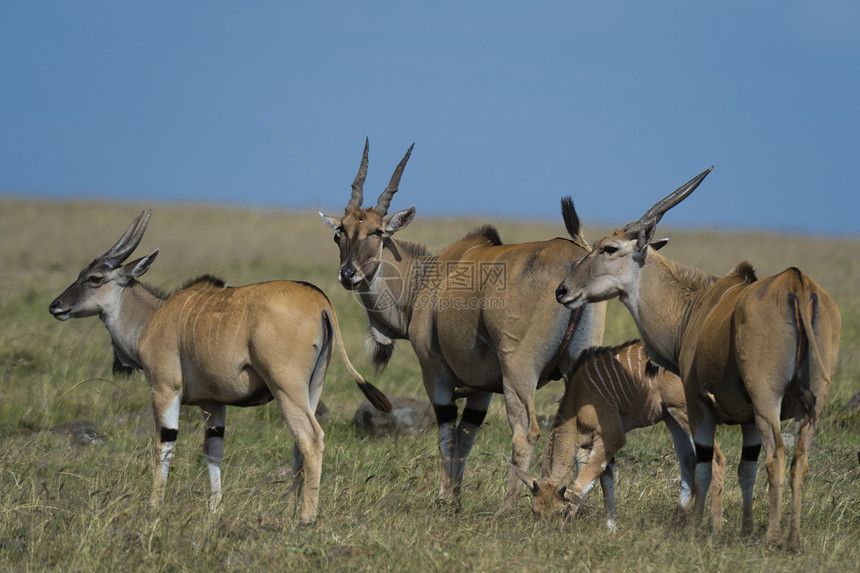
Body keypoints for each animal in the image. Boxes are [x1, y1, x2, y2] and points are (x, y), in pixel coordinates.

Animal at [48, 210, 392, 524]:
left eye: (94, 278)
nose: (55, 306)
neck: (153, 318)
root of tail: (320, 303)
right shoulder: (212, 403)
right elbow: (213, 452)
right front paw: (214, 509)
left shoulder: (164, 389)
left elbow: (164, 445)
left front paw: (154, 506)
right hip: (311, 388)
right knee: (299, 444)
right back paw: (290, 509)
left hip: (286, 388)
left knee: (310, 438)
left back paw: (307, 517)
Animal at [320, 140, 608, 512]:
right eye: (340, 232)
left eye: (378, 232)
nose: (348, 273)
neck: (428, 275)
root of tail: (575, 257)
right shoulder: (481, 388)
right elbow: (467, 434)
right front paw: (455, 496)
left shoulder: (436, 373)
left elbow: (447, 431)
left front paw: (446, 498)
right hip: (574, 369)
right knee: (580, 435)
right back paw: (568, 504)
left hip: (518, 372)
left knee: (526, 432)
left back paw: (507, 508)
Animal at [510, 338, 724, 528]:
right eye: (534, 510)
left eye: (557, 511)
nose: (545, 531)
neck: (577, 403)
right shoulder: (604, 447)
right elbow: (606, 483)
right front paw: (611, 528)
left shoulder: (612, 438)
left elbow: (582, 483)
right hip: (671, 418)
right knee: (688, 463)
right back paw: (677, 523)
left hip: (685, 413)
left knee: (716, 460)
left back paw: (712, 527)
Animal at [556, 168, 844, 548]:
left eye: (609, 248)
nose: (562, 290)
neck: (693, 307)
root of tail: (797, 285)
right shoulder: (748, 419)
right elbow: (745, 469)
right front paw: (744, 530)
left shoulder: (698, 404)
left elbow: (703, 466)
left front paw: (697, 529)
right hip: (812, 403)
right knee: (799, 460)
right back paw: (792, 540)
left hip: (767, 400)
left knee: (776, 456)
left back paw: (772, 538)